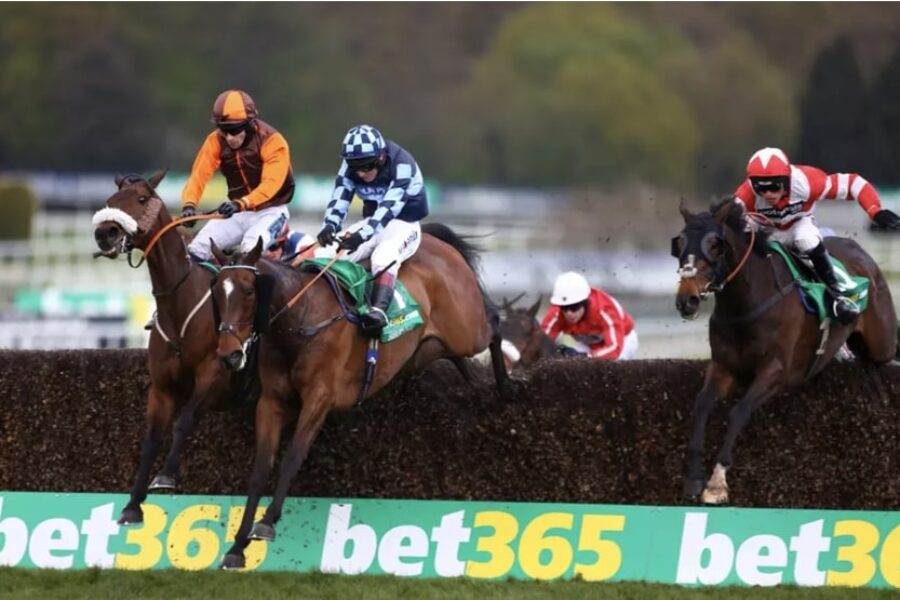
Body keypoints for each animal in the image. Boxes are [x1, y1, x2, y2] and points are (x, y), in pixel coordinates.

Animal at [92, 170, 251, 525]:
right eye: (109, 201)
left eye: (141, 198)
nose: (104, 233)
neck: (180, 304)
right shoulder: (162, 386)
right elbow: (151, 438)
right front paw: (132, 505)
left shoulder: (213, 372)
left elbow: (185, 420)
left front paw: (165, 477)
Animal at [208, 223, 512, 569]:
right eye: (216, 291)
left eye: (248, 290)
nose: (229, 354)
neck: (300, 319)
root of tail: (439, 242)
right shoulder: (272, 401)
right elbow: (259, 470)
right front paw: (236, 547)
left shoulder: (319, 398)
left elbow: (292, 458)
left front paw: (267, 523)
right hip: (423, 350)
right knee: (457, 357)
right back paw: (474, 383)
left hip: (466, 330)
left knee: (493, 325)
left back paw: (505, 386)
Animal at [672, 197, 899, 504]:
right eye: (679, 243)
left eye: (715, 244)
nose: (687, 301)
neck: (746, 303)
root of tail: (860, 251)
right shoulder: (724, 366)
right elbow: (702, 404)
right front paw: (694, 477)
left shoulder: (776, 372)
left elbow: (739, 412)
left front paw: (717, 483)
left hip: (882, 341)